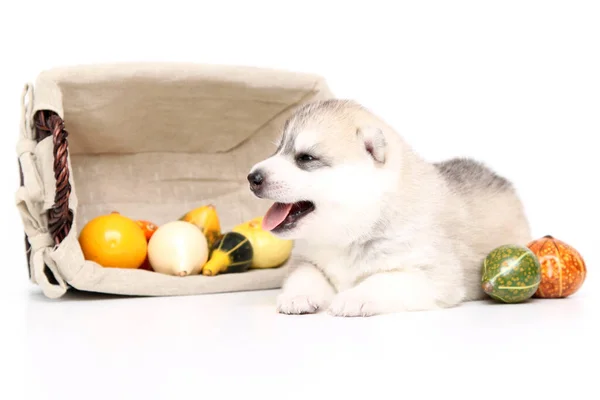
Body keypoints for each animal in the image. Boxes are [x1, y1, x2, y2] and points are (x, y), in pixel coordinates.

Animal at [246, 99, 532, 316]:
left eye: (305, 158)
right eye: (277, 150)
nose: (252, 177)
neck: (348, 232)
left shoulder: (432, 275)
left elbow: (384, 279)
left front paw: (353, 297)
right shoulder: (306, 258)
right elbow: (305, 274)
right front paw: (298, 296)